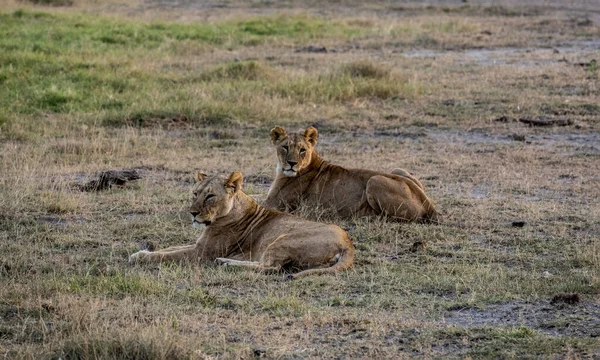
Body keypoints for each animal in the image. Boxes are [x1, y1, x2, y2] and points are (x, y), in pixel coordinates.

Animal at [129, 170, 354, 280]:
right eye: (195, 193)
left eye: (210, 196)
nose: (192, 213)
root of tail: (348, 243)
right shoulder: (198, 245)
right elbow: (171, 248)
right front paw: (141, 251)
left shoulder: (202, 253)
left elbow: (167, 255)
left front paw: (139, 257)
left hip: (283, 239)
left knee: (271, 267)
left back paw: (226, 263)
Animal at [264, 126, 440, 222]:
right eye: (285, 147)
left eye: (302, 150)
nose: (292, 163)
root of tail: (428, 203)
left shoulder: (275, 204)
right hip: (397, 169)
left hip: (374, 180)